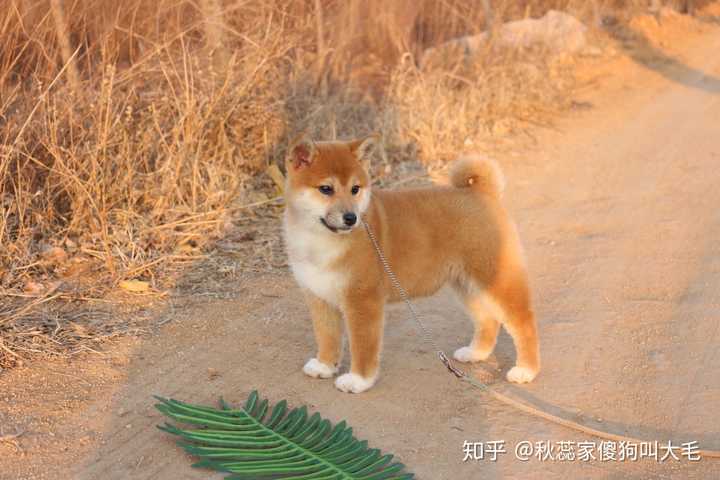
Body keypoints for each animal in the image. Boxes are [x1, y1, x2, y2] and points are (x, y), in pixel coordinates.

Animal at [284, 135, 536, 394]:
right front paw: (324, 365)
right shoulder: (318, 297)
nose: (351, 218)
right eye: (326, 189)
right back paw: (476, 353)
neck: (320, 239)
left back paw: (525, 370)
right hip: (466, 285)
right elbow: (327, 337)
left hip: (494, 279)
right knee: (488, 320)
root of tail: (483, 192)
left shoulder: (362, 301)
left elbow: (362, 346)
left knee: (523, 322)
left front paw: (358, 380)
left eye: (355, 189)